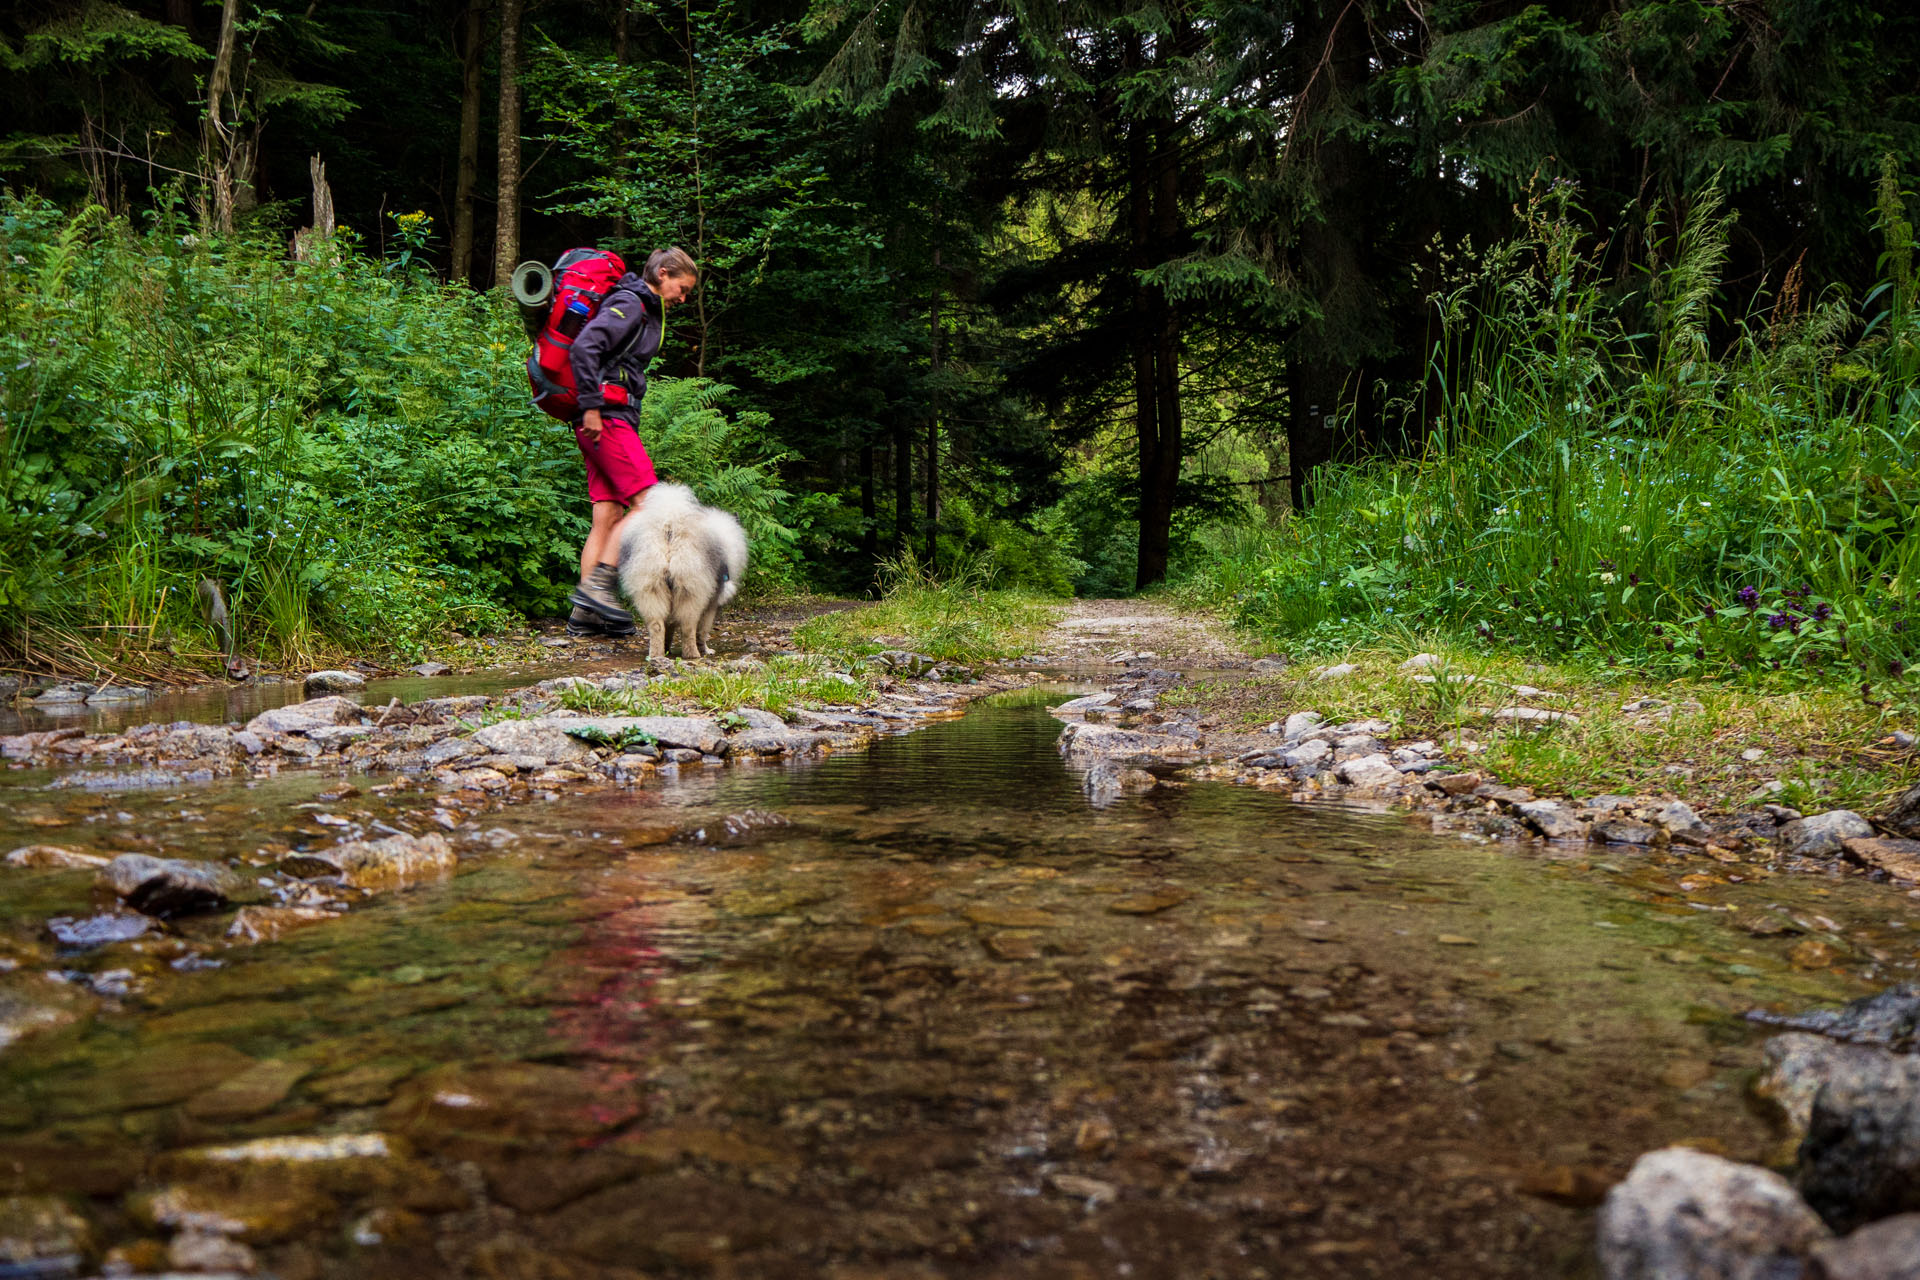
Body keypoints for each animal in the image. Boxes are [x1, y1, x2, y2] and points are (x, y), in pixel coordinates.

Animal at [614, 479, 748, 660]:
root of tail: (669, 527)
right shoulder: (712, 602)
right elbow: (703, 631)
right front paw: (706, 649)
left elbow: (669, 626)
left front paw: (667, 647)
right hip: (690, 590)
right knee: (688, 627)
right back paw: (693, 654)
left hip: (651, 588)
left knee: (657, 626)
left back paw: (656, 655)